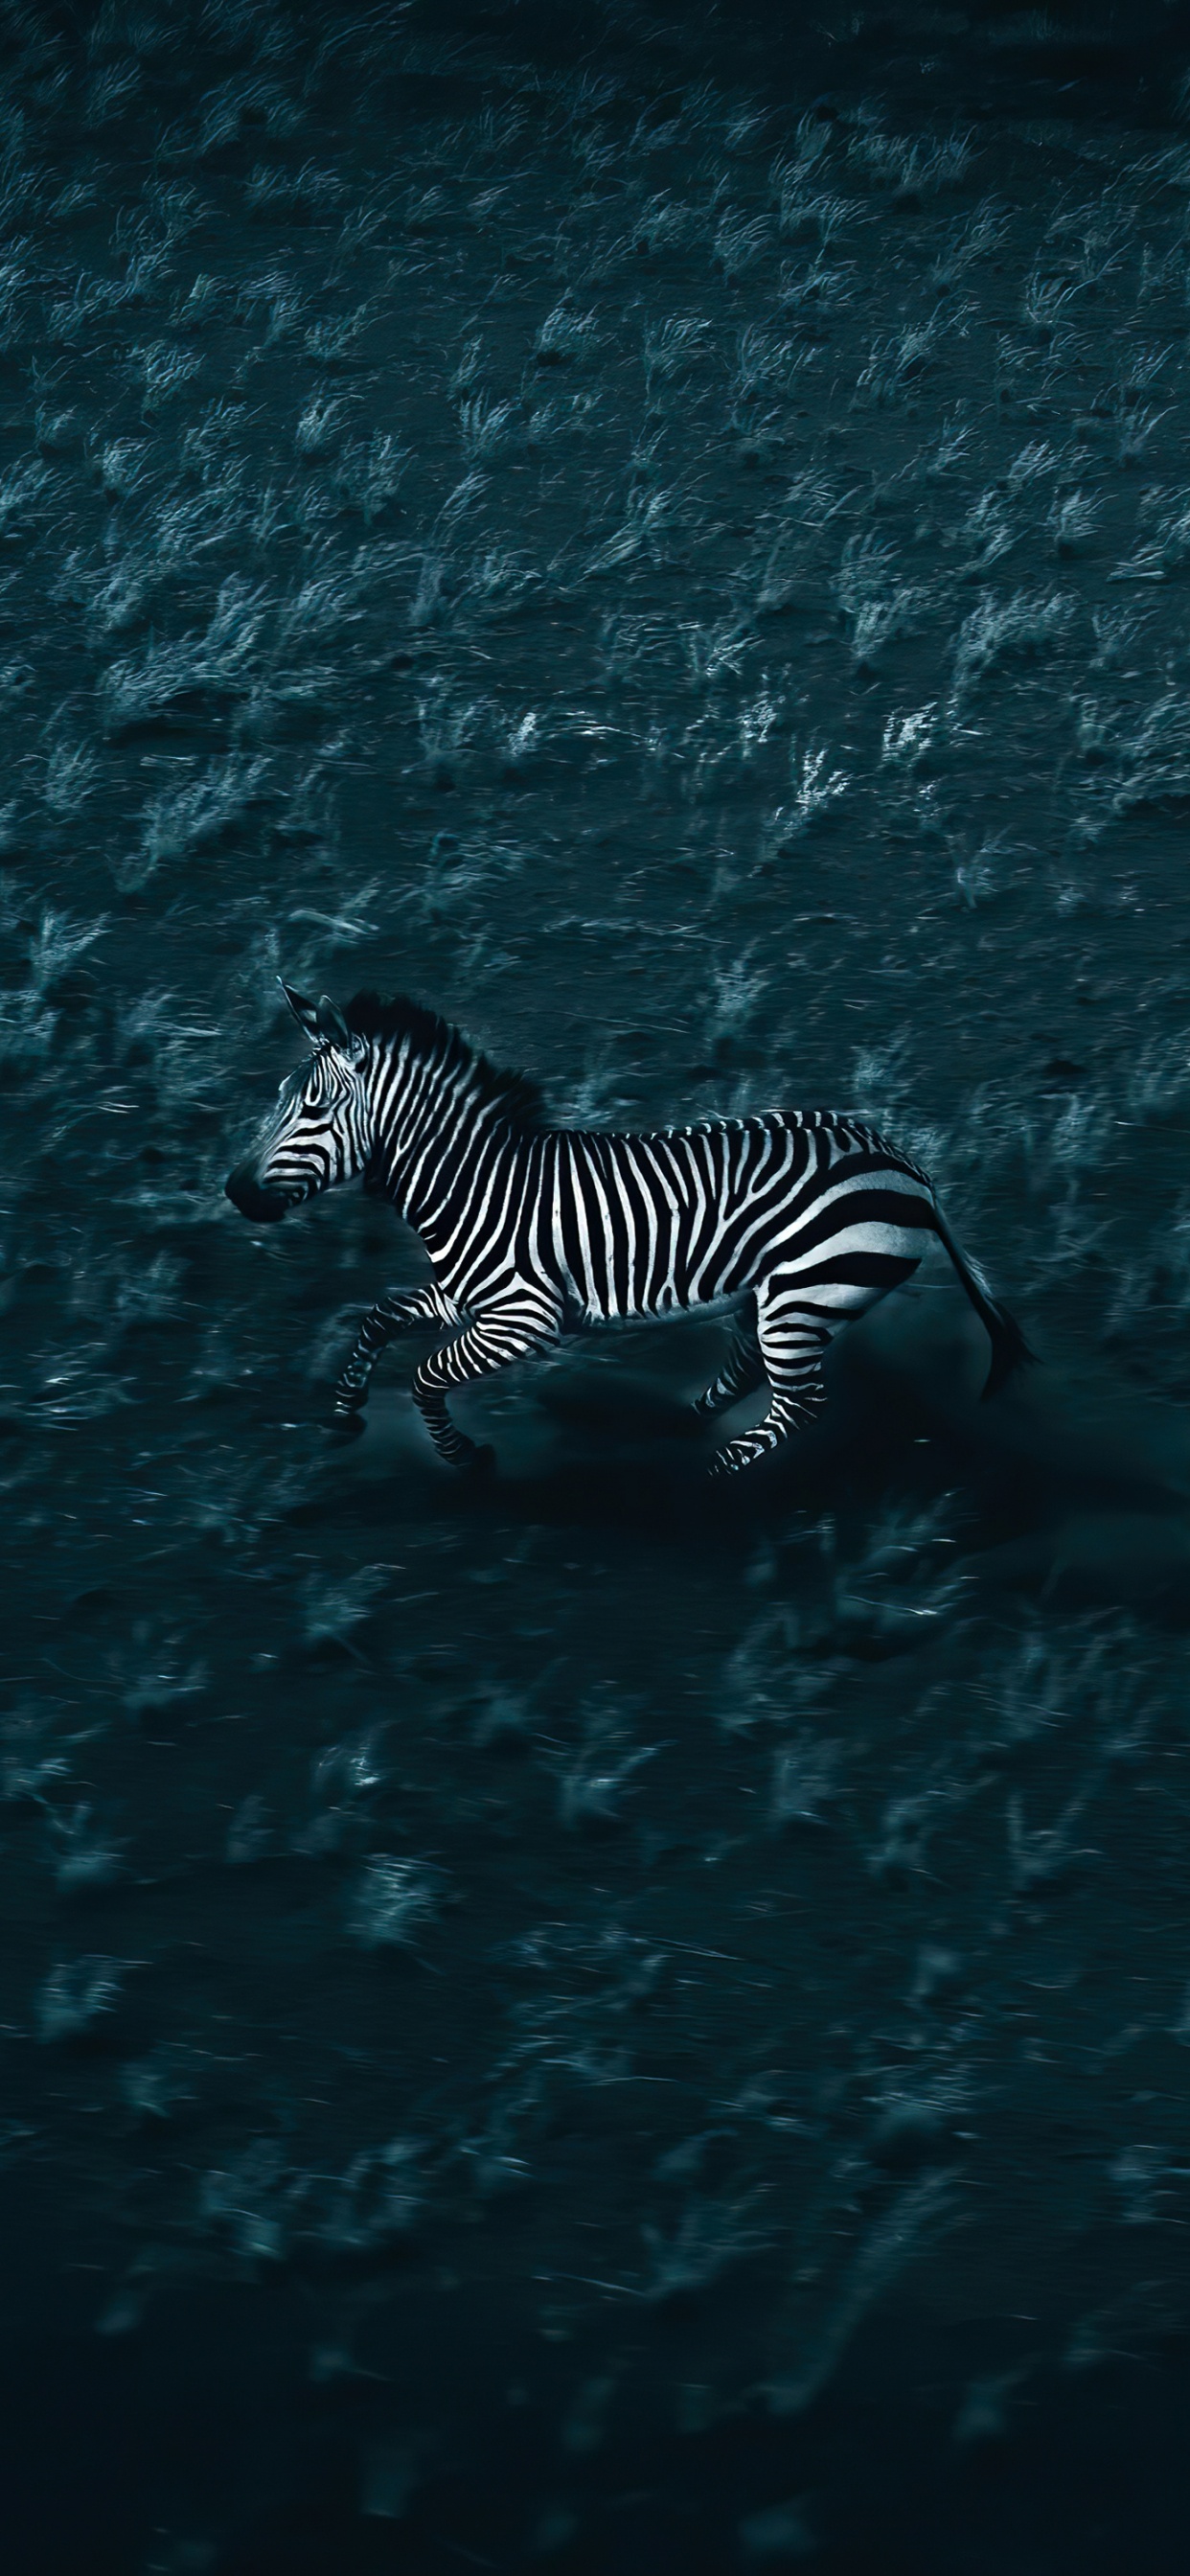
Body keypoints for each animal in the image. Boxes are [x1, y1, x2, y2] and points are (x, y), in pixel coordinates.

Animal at [225, 982, 1033, 1477]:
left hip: (805, 1291)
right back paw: (681, 1423)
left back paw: (710, 1474)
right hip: (775, 1293)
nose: (233, 1193)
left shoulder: (524, 1319)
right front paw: (343, 1412)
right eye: (280, 1097)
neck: (473, 1184)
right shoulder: (466, 1298)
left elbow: (424, 1375)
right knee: (753, 1370)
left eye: (313, 1109)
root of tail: (907, 1165)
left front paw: (465, 1458)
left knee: (801, 1402)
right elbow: (377, 1318)